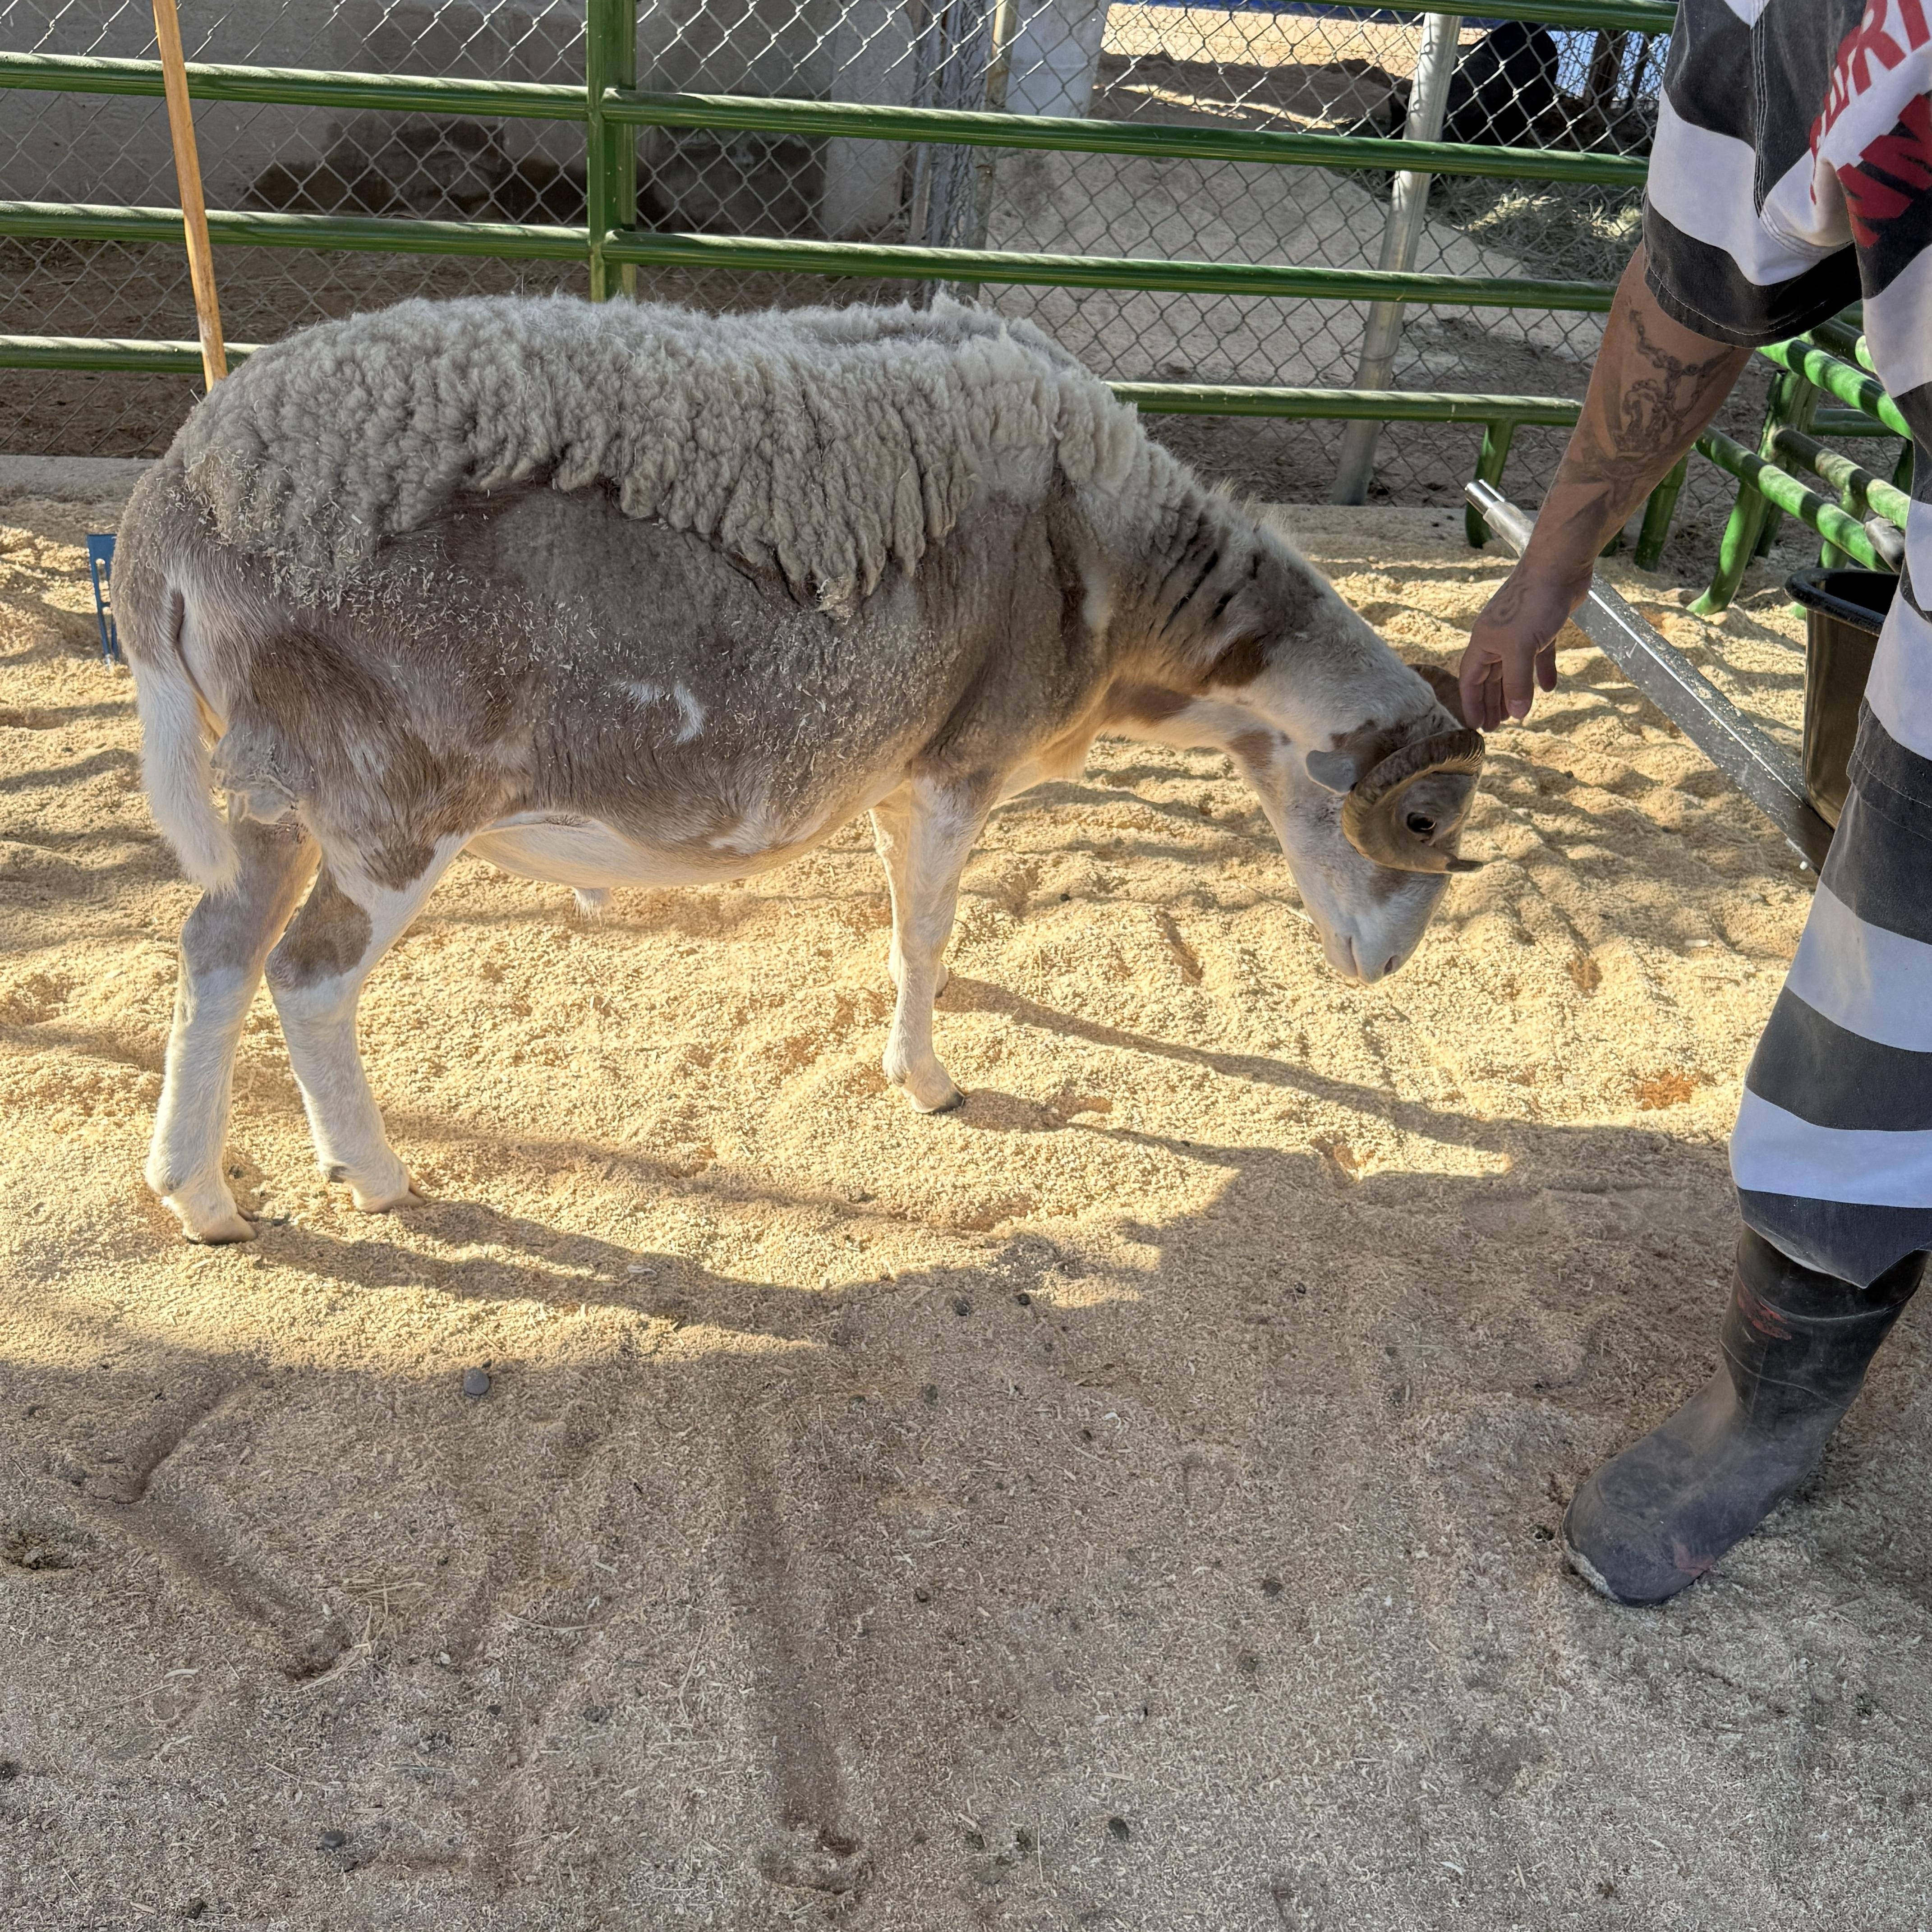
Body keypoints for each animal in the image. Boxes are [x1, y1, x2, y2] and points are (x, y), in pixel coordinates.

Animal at [114, 293, 1485, 1243]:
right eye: (1420, 821)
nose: (1386, 969)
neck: (1134, 574)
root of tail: (173, 510)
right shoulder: (958, 761)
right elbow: (929, 930)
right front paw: (927, 1080)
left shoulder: (897, 768)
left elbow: (911, 917)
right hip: (391, 796)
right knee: (306, 976)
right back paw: (377, 1176)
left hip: (278, 785)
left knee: (215, 950)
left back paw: (199, 1197)